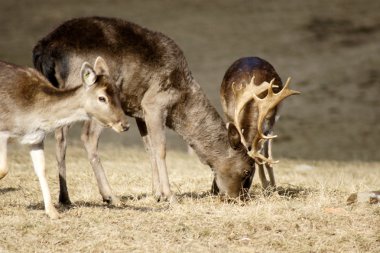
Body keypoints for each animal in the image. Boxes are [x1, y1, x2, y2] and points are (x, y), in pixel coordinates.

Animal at [0, 56, 129, 218]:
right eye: (102, 98)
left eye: (117, 93)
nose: (125, 125)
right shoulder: (3, 131)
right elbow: (4, 168)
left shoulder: (35, 138)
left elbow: (41, 169)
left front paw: (53, 212)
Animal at [220, 56, 300, 190]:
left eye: (249, 170)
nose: (244, 188)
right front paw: (267, 186)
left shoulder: (270, 125)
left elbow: (267, 158)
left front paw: (273, 188)